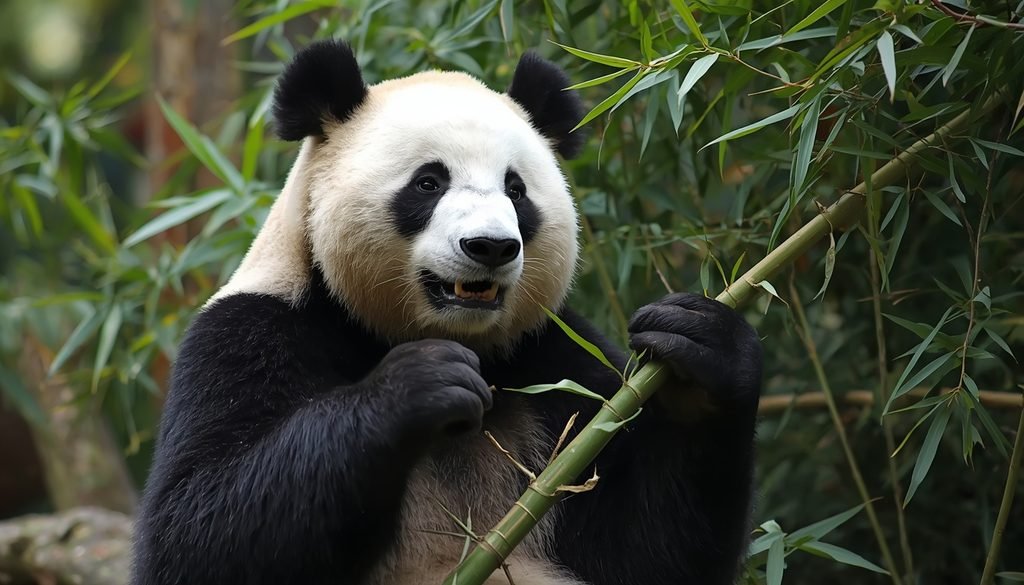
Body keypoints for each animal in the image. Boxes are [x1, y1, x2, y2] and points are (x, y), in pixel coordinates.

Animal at [131, 40, 762, 585]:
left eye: (516, 190)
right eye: (429, 182)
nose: (490, 247)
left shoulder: (554, 364)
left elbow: (643, 549)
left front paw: (699, 350)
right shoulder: (251, 332)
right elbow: (194, 532)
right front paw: (421, 384)